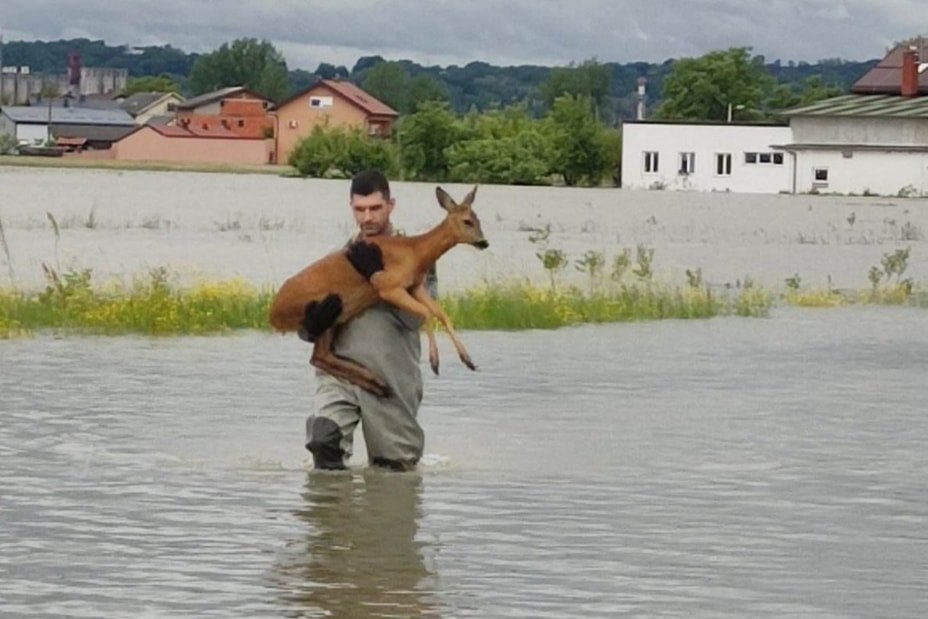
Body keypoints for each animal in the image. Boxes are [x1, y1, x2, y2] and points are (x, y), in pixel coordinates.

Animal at [266, 185, 486, 398]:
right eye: (467, 221)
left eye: (478, 219)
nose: (484, 242)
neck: (415, 253)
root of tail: (273, 315)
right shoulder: (389, 286)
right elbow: (426, 313)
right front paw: (434, 362)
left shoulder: (415, 286)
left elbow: (442, 314)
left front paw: (468, 360)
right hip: (328, 308)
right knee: (319, 355)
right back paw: (377, 382)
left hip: (335, 314)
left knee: (320, 356)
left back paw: (377, 384)